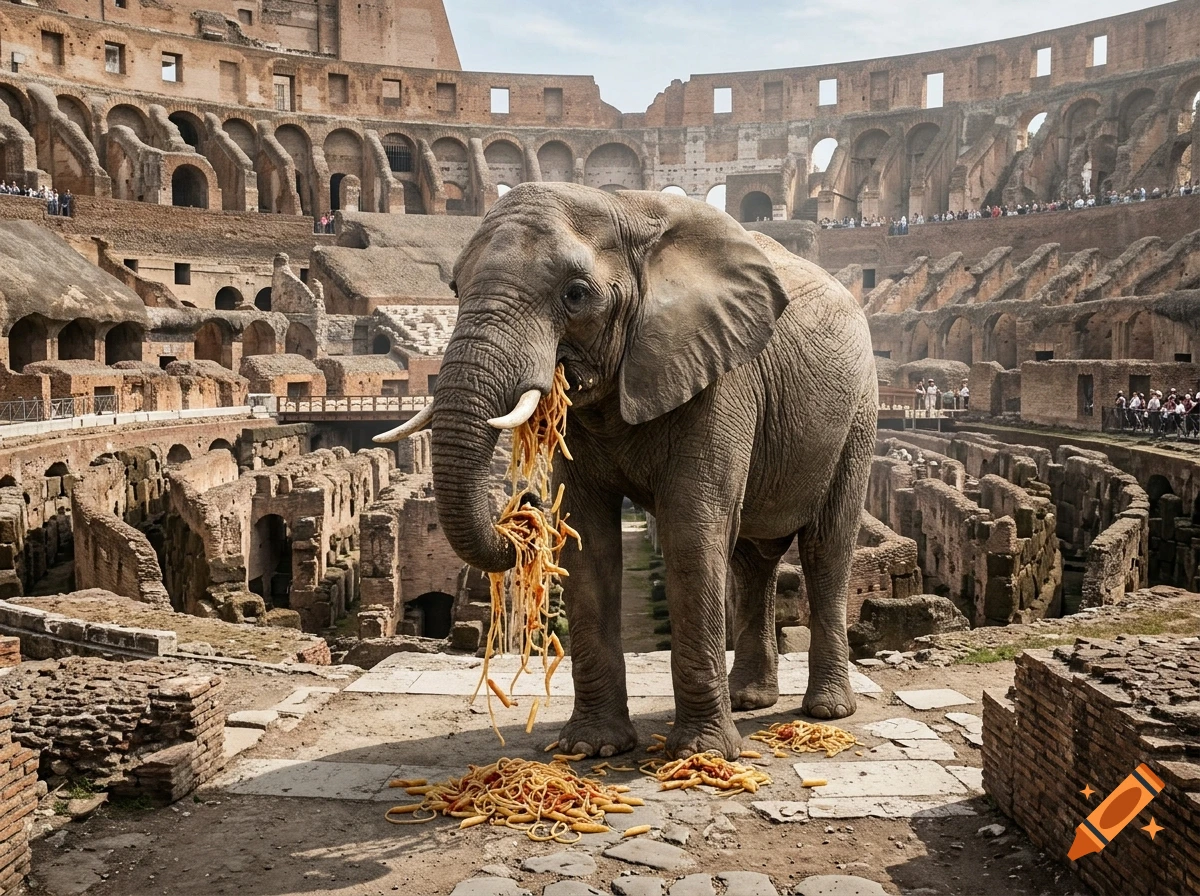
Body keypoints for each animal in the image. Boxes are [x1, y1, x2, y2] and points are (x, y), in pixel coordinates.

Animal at [377, 182, 877, 760]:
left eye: (575, 295)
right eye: (454, 288)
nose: (524, 507)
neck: (626, 209)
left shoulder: (722, 374)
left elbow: (691, 529)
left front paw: (702, 756)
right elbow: (585, 535)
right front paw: (591, 749)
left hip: (858, 413)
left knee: (826, 548)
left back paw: (826, 711)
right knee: (754, 559)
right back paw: (749, 699)